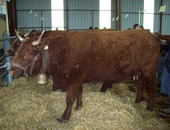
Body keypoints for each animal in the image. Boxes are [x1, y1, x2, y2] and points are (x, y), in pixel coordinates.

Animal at [8, 29, 159, 123]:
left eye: (27, 54)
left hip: (150, 71)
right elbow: (78, 93)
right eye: (19, 50)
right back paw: (137, 101)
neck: (62, 50)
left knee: (151, 89)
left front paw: (65, 117)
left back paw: (149, 107)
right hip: (139, 72)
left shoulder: (74, 78)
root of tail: (149, 35)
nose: (10, 72)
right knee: (140, 86)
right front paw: (79, 106)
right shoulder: (77, 78)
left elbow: (69, 98)